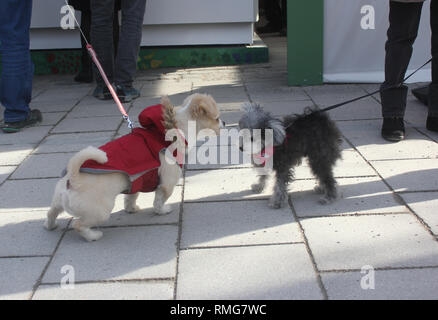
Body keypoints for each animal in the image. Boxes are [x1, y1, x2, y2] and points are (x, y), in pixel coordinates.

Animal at [44, 94, 222, 241]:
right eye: (217, 118)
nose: (225, 122)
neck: (173, 129)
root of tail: (74, 179)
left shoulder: (136, 182)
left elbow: (131, 197)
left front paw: (132, 209)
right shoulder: (167, 184)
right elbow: (159, 200)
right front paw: (162, 211)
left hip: (58, 201)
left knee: (51, 212)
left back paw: (50, 226)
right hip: (101, 211)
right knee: (79, 225)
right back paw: (93, 235)